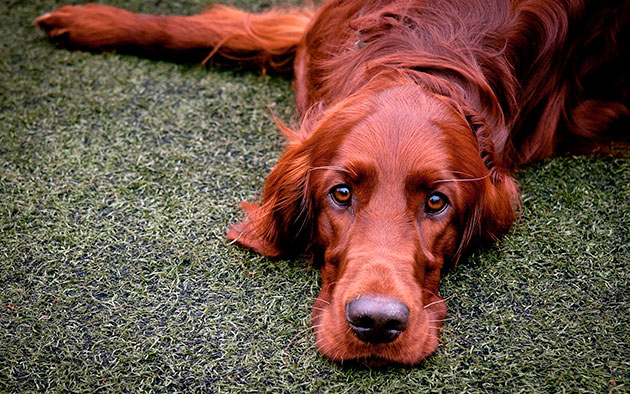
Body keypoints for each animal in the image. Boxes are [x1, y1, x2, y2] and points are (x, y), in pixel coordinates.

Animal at [37, 0, 628, 366]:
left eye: (438, 202)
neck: (419, 57)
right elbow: (217, 28)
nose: (377, 323)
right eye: (341, 194)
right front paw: (87, 20)